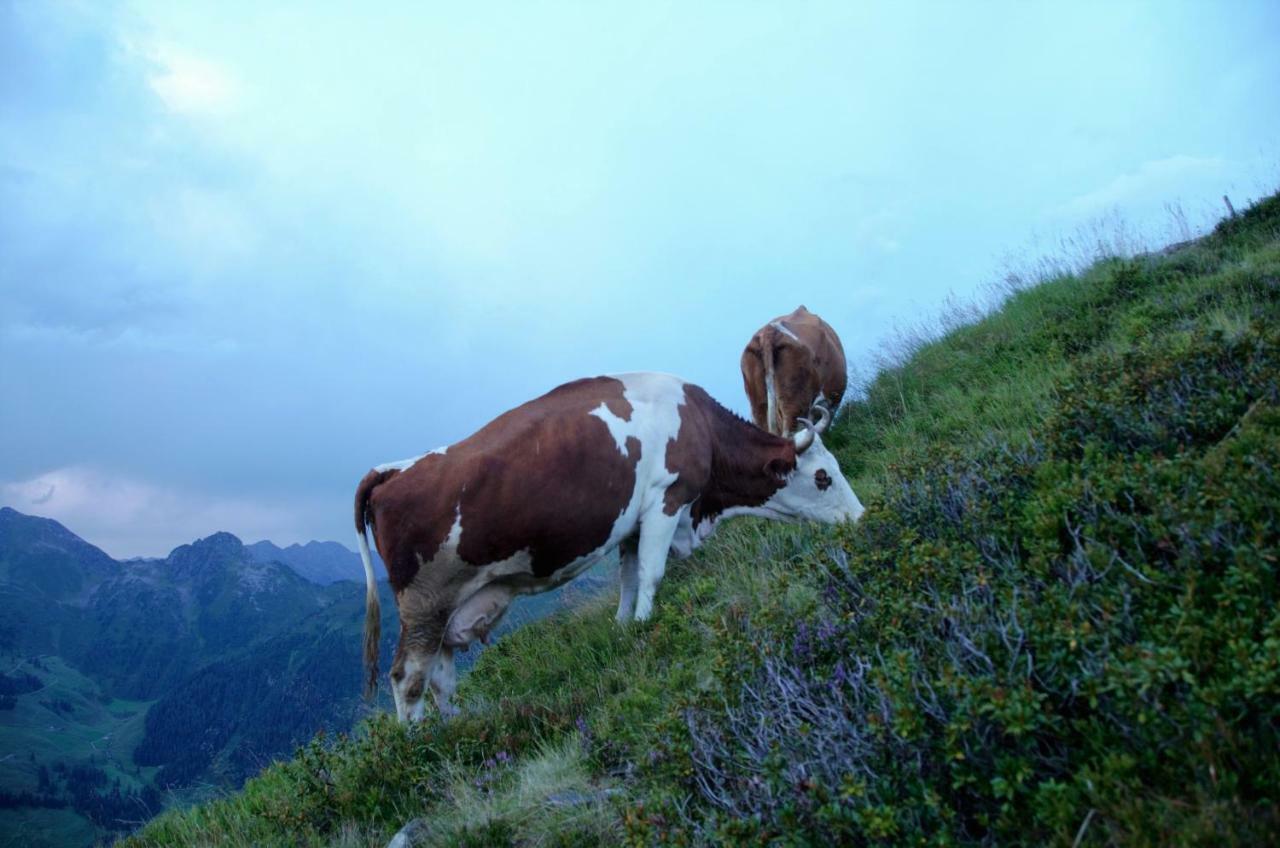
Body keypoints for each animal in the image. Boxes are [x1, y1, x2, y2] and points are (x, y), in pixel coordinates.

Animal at [355, 374, 865, 722]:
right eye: (823, 476)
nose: (862, 517)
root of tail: (391, 470)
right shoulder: (667, 498)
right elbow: (653, 575)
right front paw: (646, 627)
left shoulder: (632, 527)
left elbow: (629, 579)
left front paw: (624, 630)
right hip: (424, 603)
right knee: (409, 678)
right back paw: (420, 748)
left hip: (445, 608)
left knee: (441, 677)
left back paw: (459, 731)